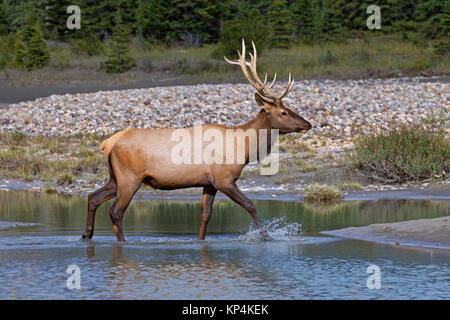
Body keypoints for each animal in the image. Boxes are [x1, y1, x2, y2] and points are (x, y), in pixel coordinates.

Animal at [81, 39, 310, 240]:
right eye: (283, 112)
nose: (308, 124)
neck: (244, 148)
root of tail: (107, 144)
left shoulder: (209, 183)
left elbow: (205, 216)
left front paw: (200, 241)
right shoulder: (224, 179)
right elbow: (250, 205)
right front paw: (266, 236)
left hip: (115, 177)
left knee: (93, 197)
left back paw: (86, 235)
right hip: (129, 178)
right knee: (115, 212)